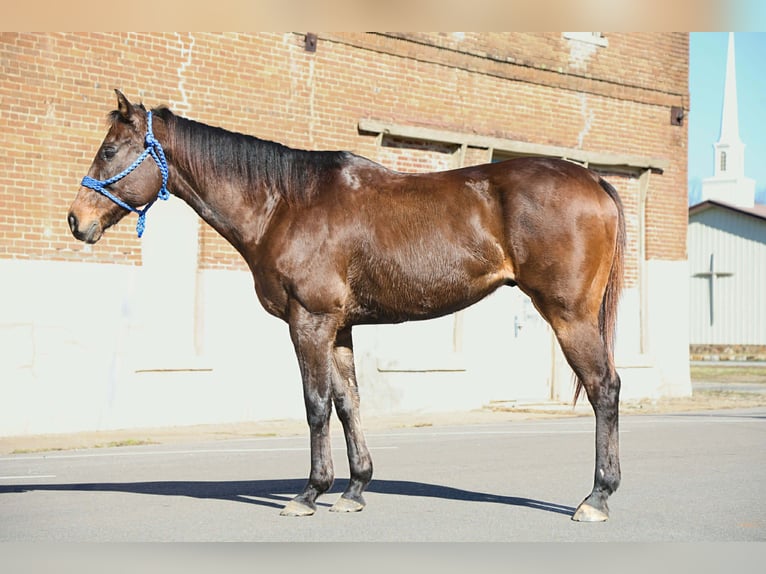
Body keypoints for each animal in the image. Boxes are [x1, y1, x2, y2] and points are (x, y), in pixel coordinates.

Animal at [68, 90, 625, 522]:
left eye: (110, 150)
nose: (76, 220)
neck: (284, 204)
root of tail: (593, 181)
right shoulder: (339, 329)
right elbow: (348, 403)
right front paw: (355, 489)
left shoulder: (309, 322)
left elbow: (315, 405)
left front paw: (309, 493)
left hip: (569, 316)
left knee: (605, 389)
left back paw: (597, 498)